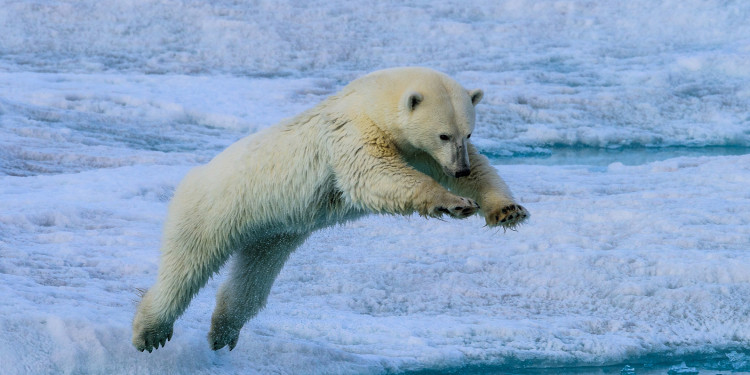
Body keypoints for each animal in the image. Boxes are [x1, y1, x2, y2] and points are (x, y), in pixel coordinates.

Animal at [131, 67, 528, 352]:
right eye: (444, 134)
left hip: (273, 232)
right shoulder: (352, 132)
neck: (370, 101)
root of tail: (190, 178)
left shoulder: (421, 152)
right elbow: (372, 173)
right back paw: (150, 332)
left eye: (468, 133)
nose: (457, 167)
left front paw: (507, 210)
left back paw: (223, 332)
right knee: (186, 266)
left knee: (252, 277)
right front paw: (453, 203)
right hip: (212, 209)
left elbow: (480, 171)